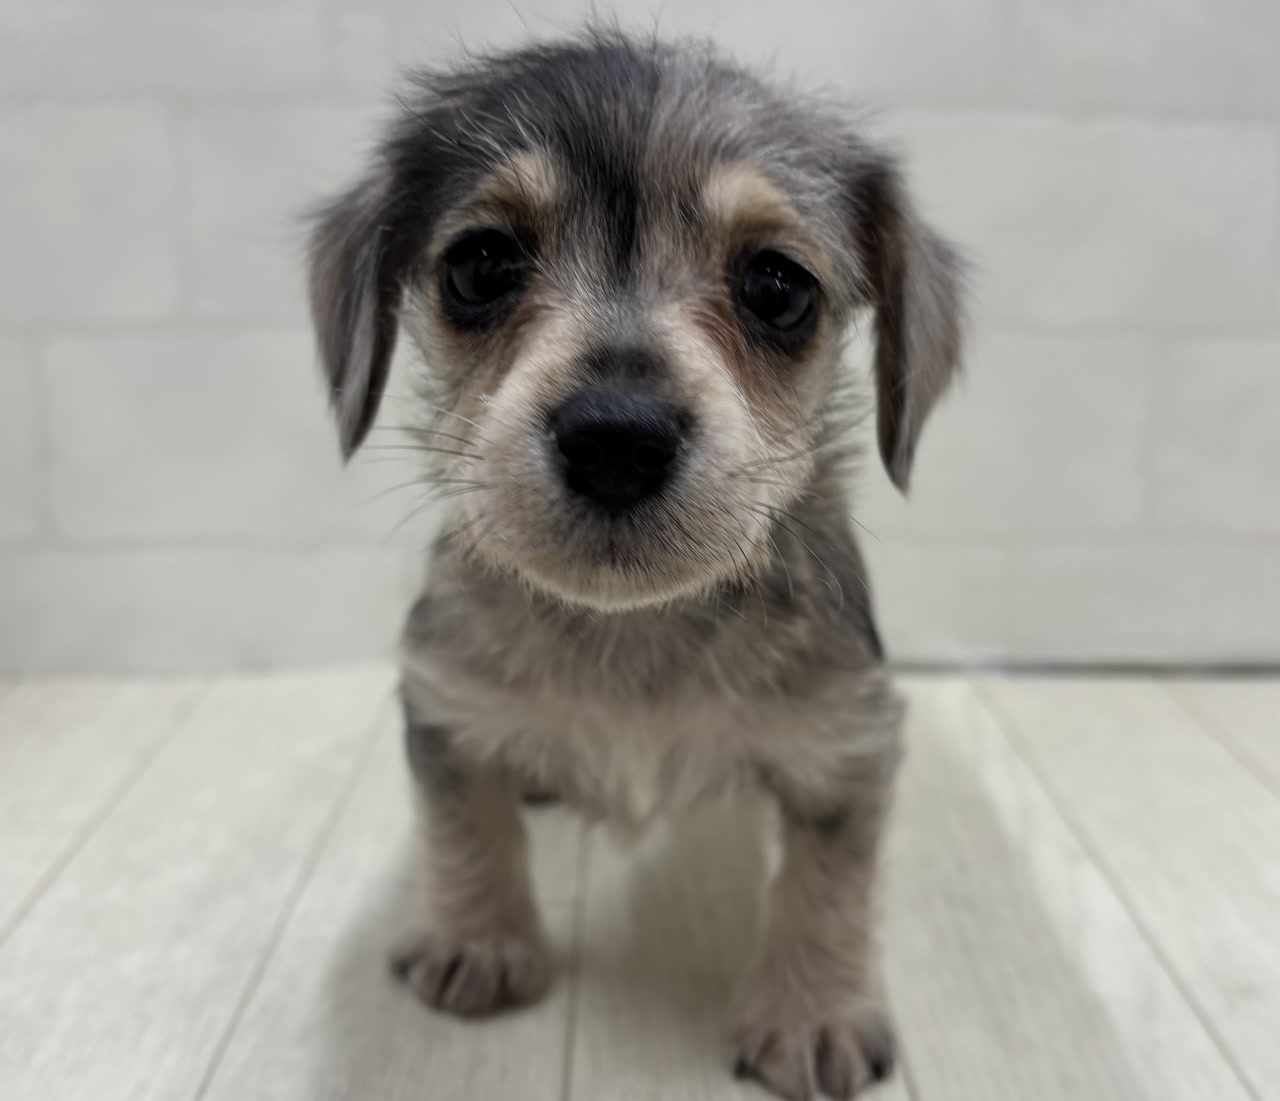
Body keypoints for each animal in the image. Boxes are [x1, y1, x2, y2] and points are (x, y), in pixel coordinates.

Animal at [307, 29, 963, 1101]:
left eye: (779, 286)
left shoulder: (845, 746)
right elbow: (463, 824)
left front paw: (814, 1014)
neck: (634, 630)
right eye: (479, 267)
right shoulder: (444, 703)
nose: (616, 438)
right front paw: (475, 938)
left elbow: (828, 886)